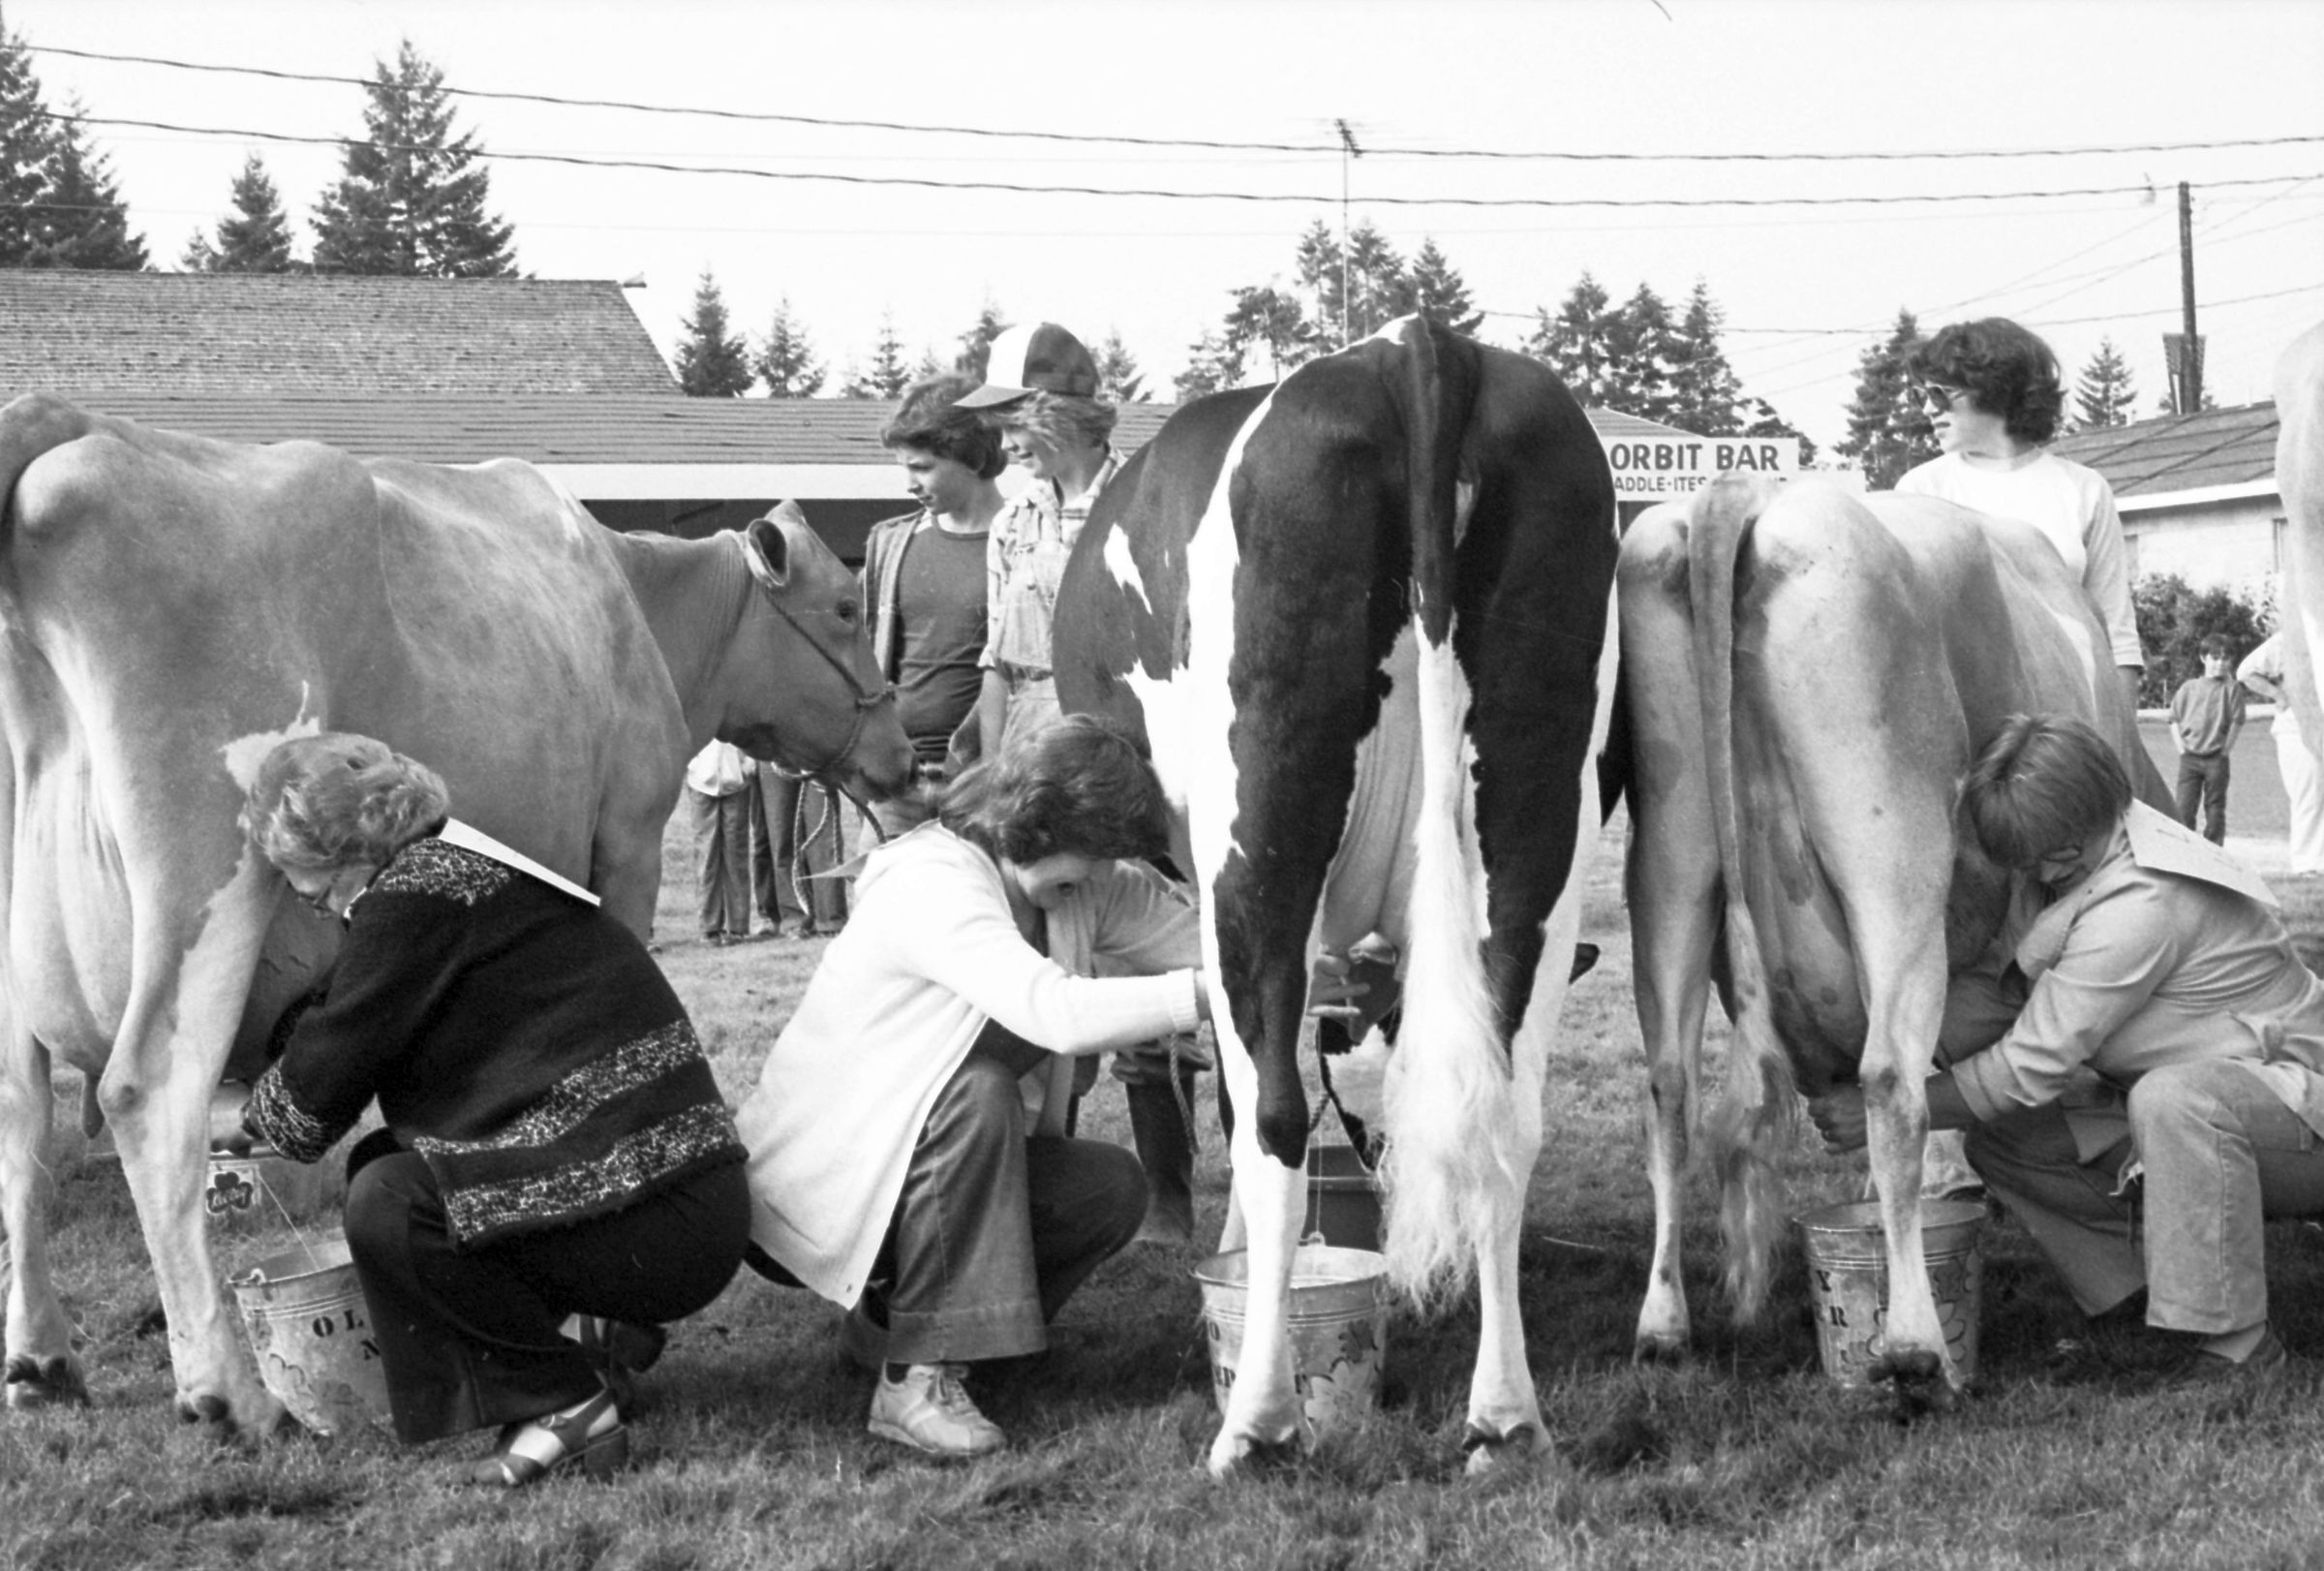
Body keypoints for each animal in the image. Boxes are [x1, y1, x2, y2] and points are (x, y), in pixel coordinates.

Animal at [0, 393, 913, 1431]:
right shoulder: (629, 839)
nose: (902, 754)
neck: (635, 603)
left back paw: (41, 1360)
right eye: (845, 609)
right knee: (146, 1091)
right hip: (204, 875)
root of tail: (73, 425)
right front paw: (611, 1339)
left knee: (21, 1113)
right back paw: (229, 1396)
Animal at [1054, 317, 1620, 1476]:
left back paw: (1257, 1423)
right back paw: (1504, 1417)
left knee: (1271, 1118)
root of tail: (1416, 343)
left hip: (1256, 843)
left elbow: (1240, 1100)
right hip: (1539, 840)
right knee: (1507, 1113)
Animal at [1619, 473, 2170, 1402]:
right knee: (1890, 1083)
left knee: (1668, 1087)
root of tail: (1746, 494)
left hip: (1670, 850)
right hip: (1894, 854)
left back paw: (1663, 1326)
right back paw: (1915, 1347)